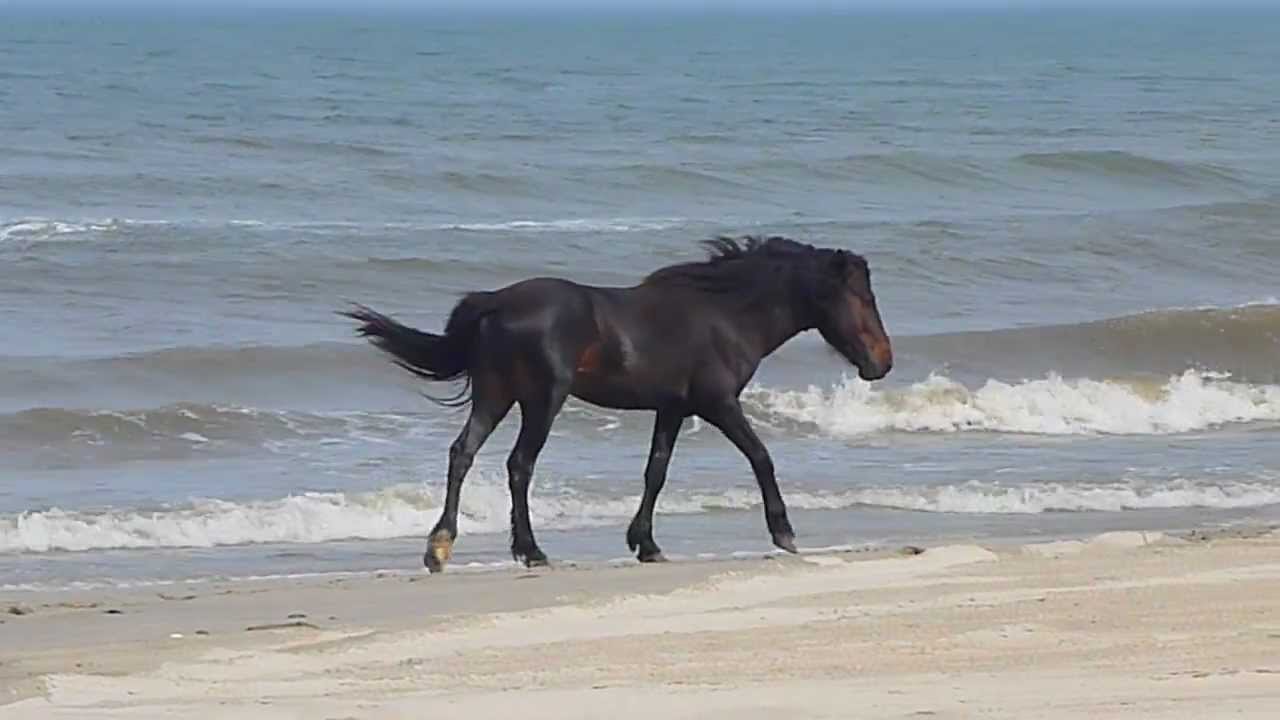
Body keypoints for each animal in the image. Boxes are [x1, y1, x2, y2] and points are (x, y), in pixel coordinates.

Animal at [342, 235, 893, 573]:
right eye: (863, 299)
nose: (882, 363)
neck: (725, 314)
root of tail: (496, 301)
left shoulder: (673, 409)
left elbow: (656, 471)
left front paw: (646, 544)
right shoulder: (718, 404)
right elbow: (761, 457)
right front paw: (784, 533)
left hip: (496, 396)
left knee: (463, 454)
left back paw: (440, 547)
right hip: (541, 399)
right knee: (519, 465)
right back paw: (531, 551)